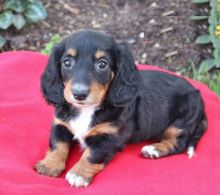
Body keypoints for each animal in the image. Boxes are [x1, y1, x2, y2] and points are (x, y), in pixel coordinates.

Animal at [35, 30, 207, 187]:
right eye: (67, 62)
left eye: (102, 64)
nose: (79, 94)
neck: (88, 109)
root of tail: (198, 95)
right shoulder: (61, 123)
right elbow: (57, 144)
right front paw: (49, 165)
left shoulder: (109, 137)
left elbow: (91, 154)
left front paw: (78, 174)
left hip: (181, 122)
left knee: (179, 142)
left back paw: (154, 149)